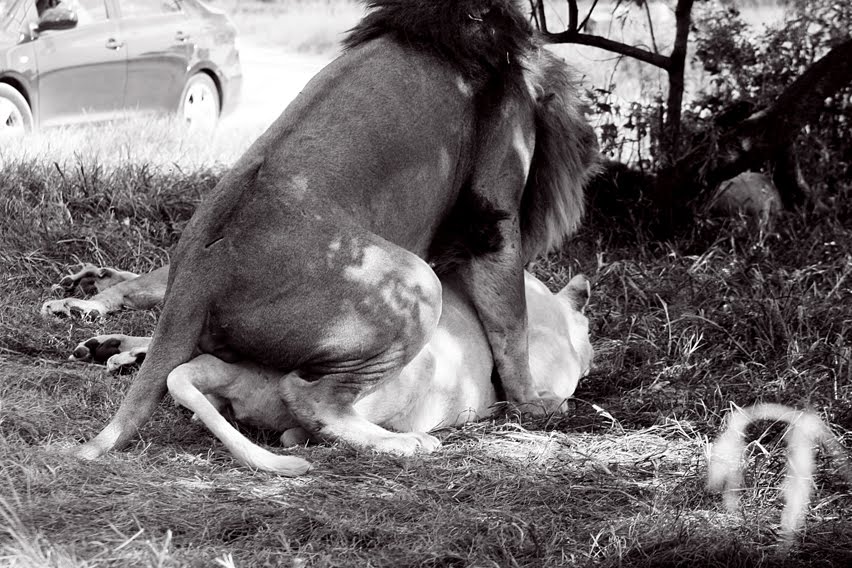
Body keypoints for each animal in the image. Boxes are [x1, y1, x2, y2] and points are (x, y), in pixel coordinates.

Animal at [72, 0, 599, 460]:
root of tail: (199, 277)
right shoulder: (495, 206)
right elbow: (512, 325)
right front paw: (532, 404)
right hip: (418, 284)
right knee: (307, 394)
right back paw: (403, 443)